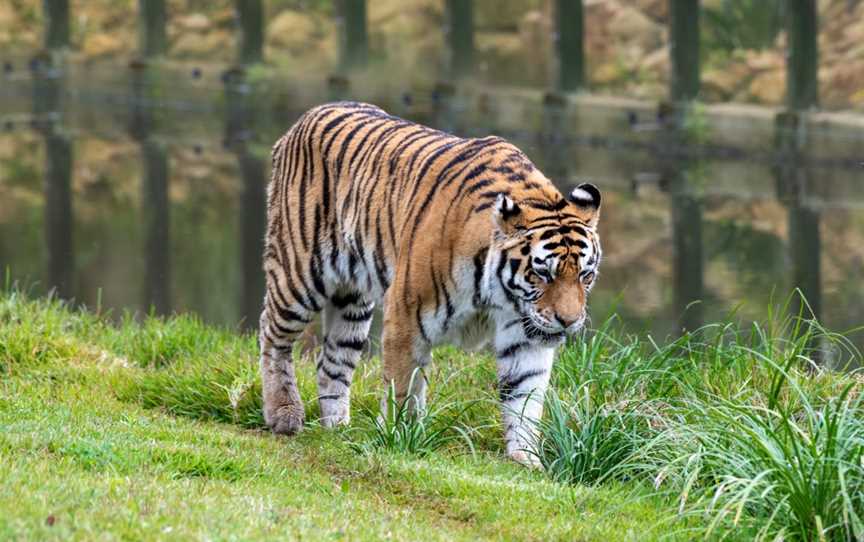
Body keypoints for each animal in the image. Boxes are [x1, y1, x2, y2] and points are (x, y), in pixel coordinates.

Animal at [260, 102, 604, 468]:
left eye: (585, 275)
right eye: (543, 274)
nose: (568, 321)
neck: (500, 295)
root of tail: (305, 117)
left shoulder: (525, 336)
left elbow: (525, 396)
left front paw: (525, 458)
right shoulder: (405, 314)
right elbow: (402, 387)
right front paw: (397, 439)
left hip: (354, 300)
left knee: (332, 361)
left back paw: (337, 428)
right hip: (300, 272)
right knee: (272, 333)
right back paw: (284, 413)